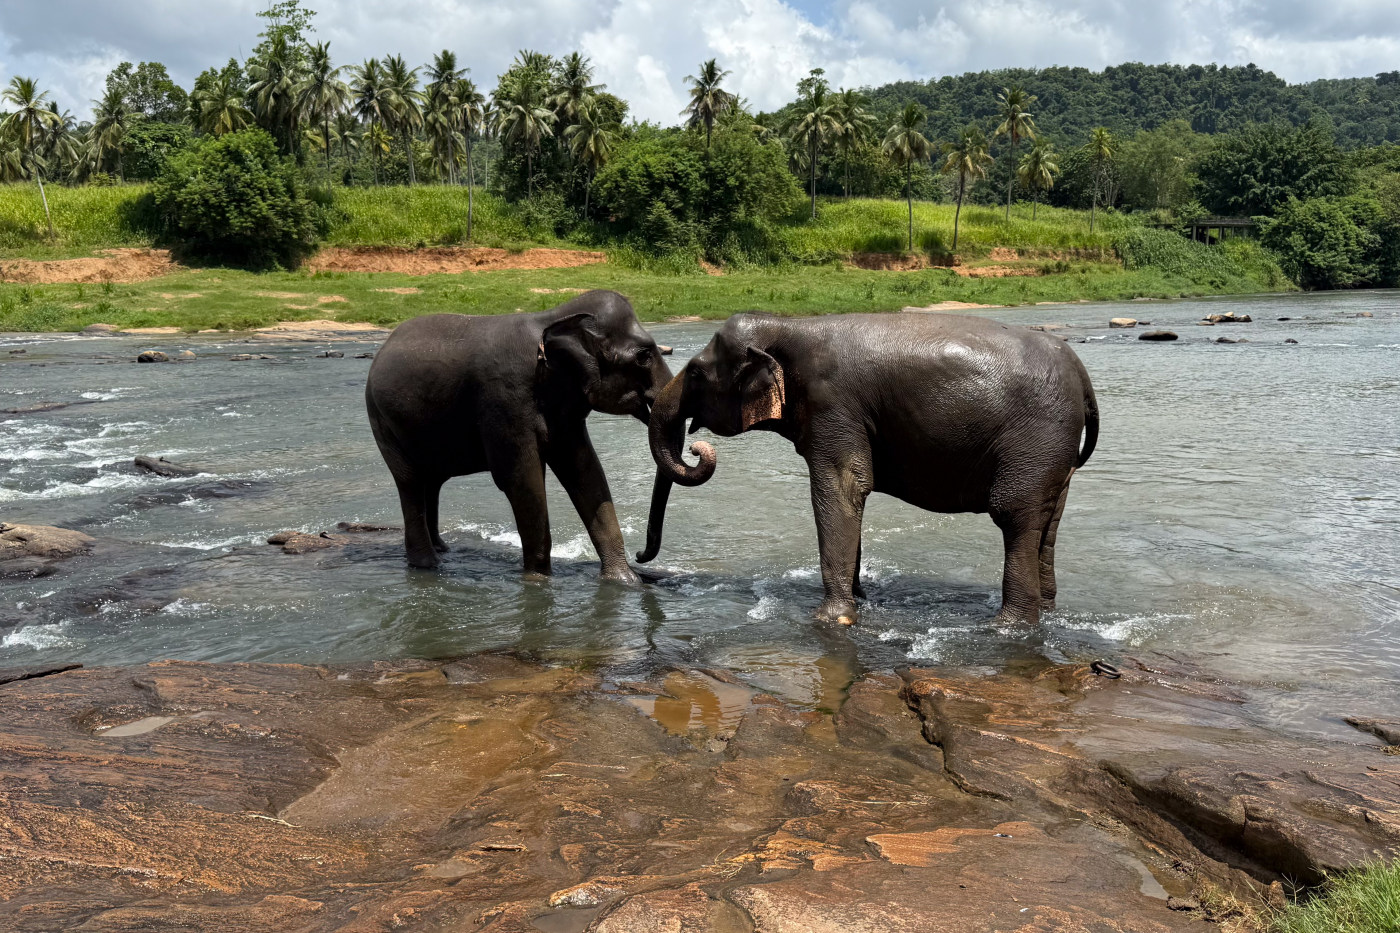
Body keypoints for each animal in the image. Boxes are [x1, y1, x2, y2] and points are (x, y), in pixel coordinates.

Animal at [365, 290, 672, 582]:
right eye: (644, 356)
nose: (640, 554)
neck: (553, 316)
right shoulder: (504, 399)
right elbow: (521, 479)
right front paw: (537, 580)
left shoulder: (564, 411)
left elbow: (586, 472)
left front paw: (624, 581)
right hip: (381, 420)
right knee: (410, 483)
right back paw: (428, 565)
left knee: (432, 482)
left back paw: (442, 550)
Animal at [638, 311, 1098, 626]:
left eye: (696, 373)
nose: (642, 558)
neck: (790, 326)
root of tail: (1081, 372)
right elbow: (850, 493)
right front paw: (859, 599)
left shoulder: (833, 403)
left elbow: (842, 486)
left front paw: (830, 619)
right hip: (1054, 452)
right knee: (1046, 525)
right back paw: (1047, 613)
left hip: (1036, 438)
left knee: (1014, 515)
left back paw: (1006, 627)